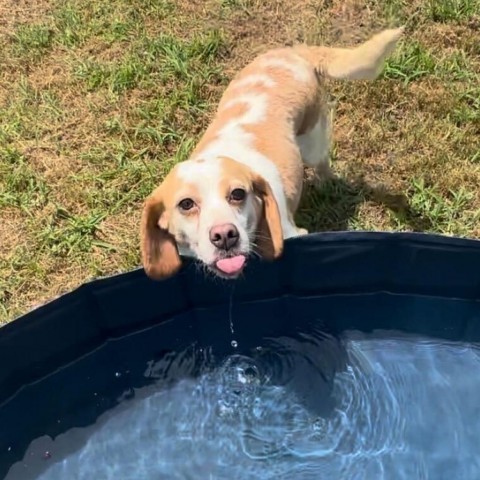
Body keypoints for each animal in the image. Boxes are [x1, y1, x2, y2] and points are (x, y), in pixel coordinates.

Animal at [141, 26, 404, 280]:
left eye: (238, 194)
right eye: (186, 204)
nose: (225, 235)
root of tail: (295, 52)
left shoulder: (294, 234)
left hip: (311, 141)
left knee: (322, 161)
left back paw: (324, 182)